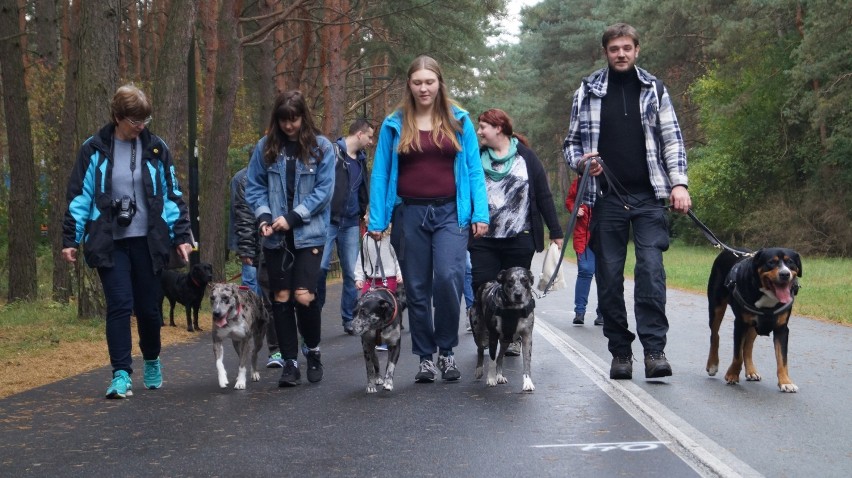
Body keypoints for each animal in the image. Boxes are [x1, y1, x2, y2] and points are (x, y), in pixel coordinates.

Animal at [704, 246, 800, 392]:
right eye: (771, 262)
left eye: (790, 262)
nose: (785, 274)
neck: (768, 297)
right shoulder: (740, 324)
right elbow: (737, 355)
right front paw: (732, 375)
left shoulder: (782, 328)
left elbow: (782, 359)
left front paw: (785, 382)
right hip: (716, 307)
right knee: (715, 336)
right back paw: (712, 364)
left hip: (754, 326)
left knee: (748, 347)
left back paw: (751, 371)